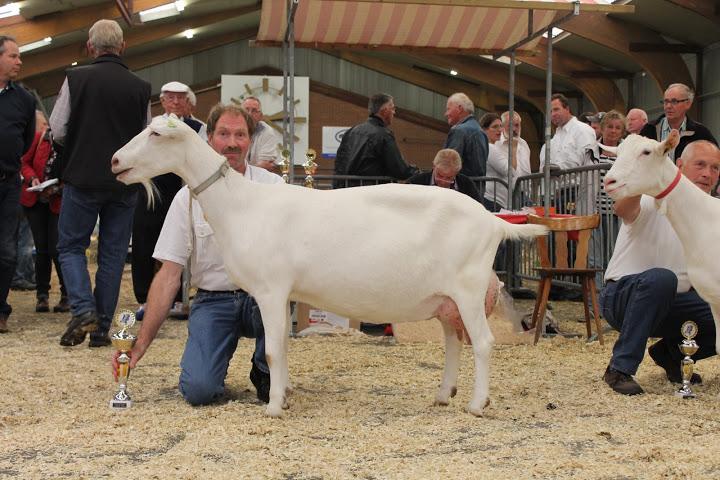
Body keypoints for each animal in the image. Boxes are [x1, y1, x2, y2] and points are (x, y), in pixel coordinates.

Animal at [112, 116, 544, 416]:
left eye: (155, 134)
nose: (115, 160)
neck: (241, 204)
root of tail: (493, 221)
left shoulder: (271, 289)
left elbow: (274, 350)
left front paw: (273, 408)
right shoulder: (282, 294)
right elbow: (281, 346)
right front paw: (283, 396)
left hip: (469, 289)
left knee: (483, 342)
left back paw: (476, 404)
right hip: (446, 299)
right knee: (454, 341)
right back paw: (443, 395)